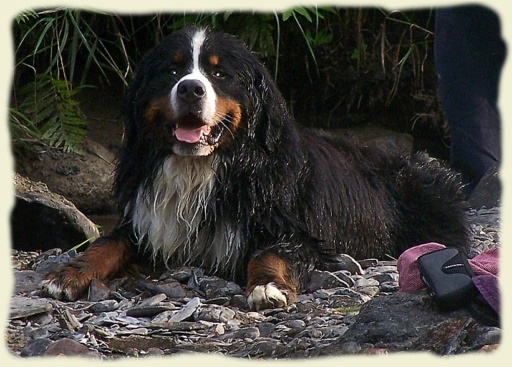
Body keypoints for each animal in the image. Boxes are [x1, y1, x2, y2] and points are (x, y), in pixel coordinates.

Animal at [42, 25, 470, 310]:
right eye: (172, 71)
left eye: (218, 73)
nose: (191, 88)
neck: (203, 167)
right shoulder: (147, 219)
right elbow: (106, 243)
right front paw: (68, 273)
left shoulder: (298, 232)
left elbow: (270, 253)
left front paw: (267, 288)